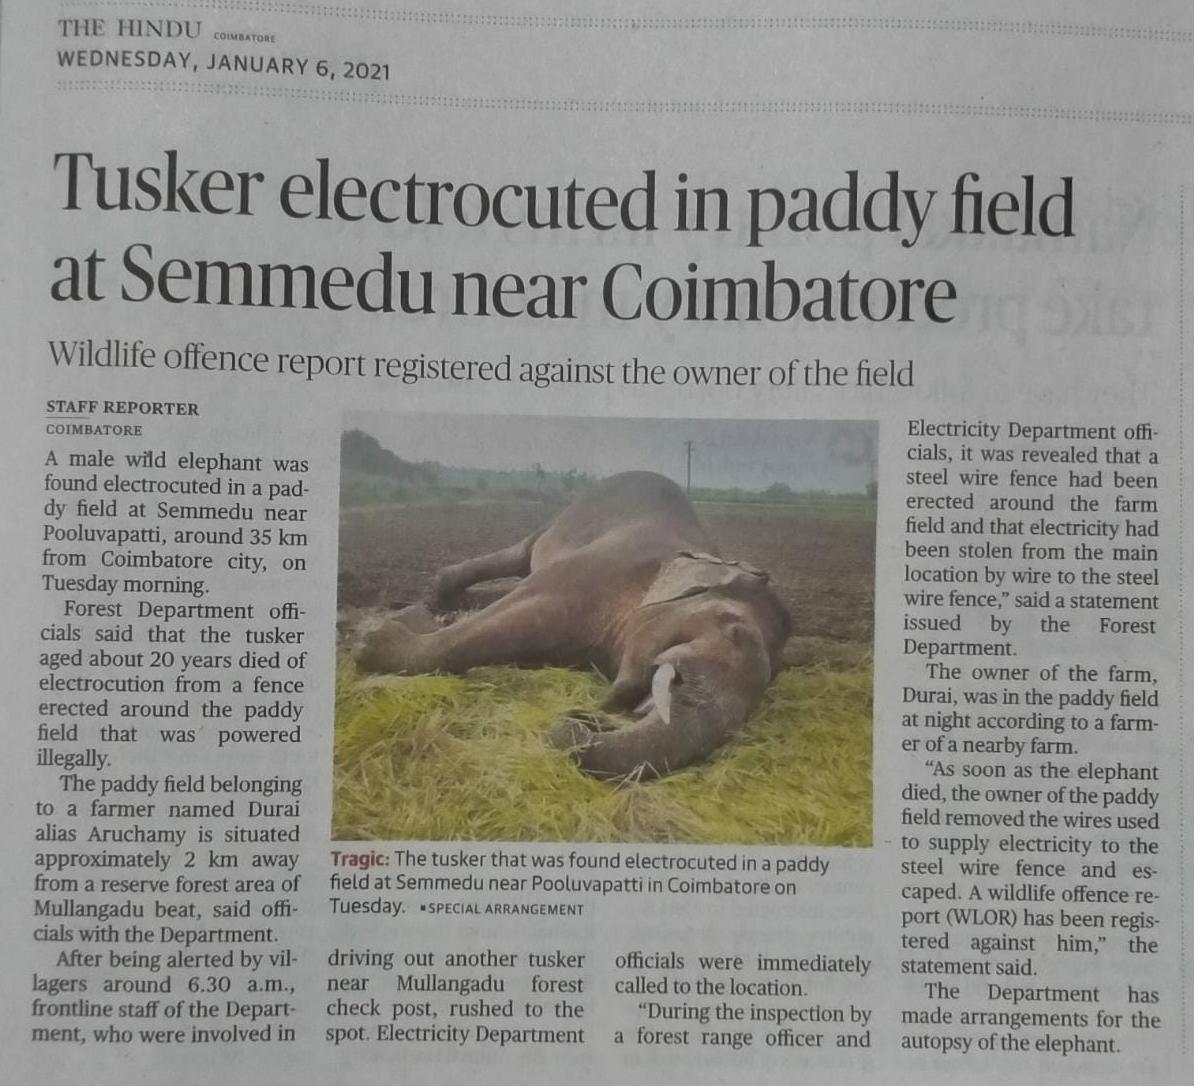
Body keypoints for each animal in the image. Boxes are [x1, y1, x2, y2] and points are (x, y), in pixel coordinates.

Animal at [355, 471, 792, 779]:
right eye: (731, 627)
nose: (577, 718)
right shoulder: (599, 569)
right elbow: (512, 618)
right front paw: (374, 642)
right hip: (563, 517)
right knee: (521, 554)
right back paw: (436, 601)